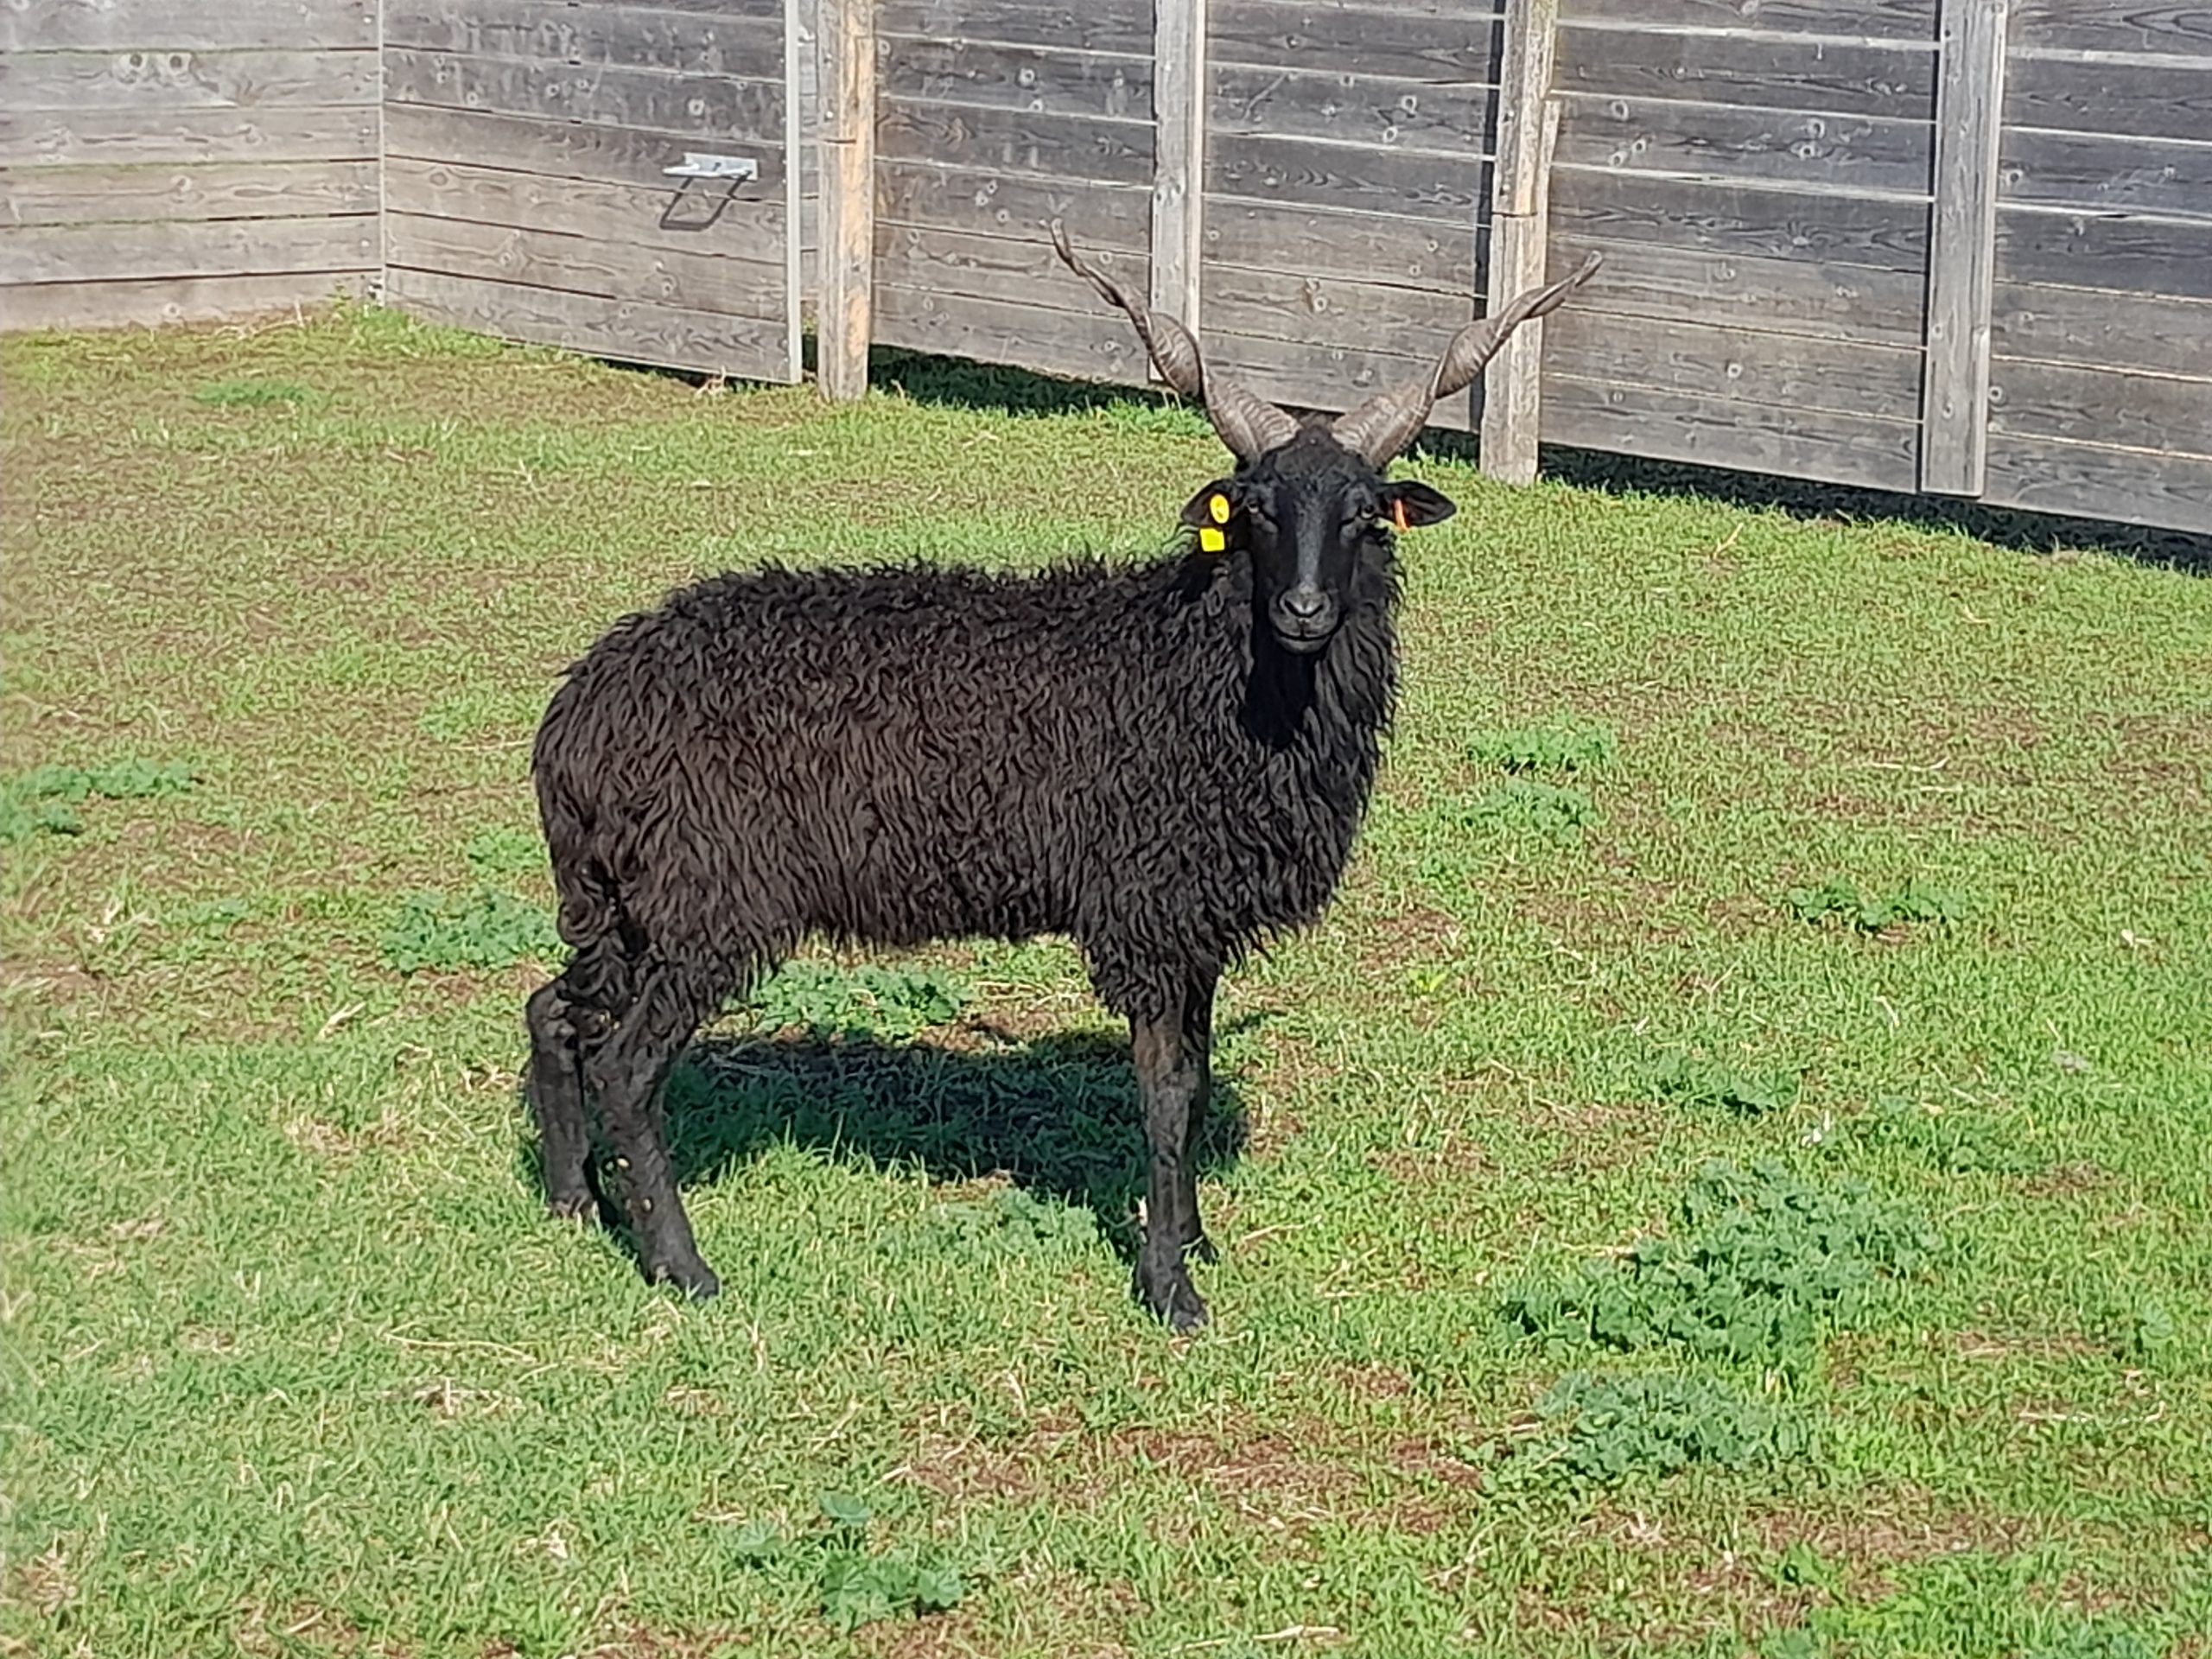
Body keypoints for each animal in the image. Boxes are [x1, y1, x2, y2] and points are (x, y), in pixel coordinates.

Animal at [522, 227, 1592, 1336]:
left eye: (1363, 517)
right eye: (1253, 512)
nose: (1301, 609)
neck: (1191, 674)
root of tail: (578, 717)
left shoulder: (1194, 922)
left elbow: (1197, 1079)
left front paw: (1195, 1238)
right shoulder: (1147, 916)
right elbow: (1166, 1095)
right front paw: (1170, 1287)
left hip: (626, 903)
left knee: (553, 1011)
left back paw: (573, 1200)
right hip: (706, 900)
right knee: (626, 1067)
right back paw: (682, 1266)